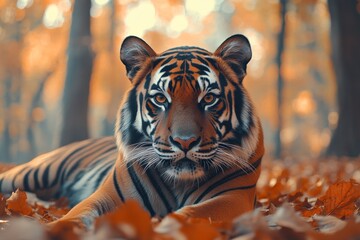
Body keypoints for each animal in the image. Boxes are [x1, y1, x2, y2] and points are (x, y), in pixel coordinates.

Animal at [0, 33, 264, 227]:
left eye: (209, 98)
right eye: (160, 98)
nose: (184, 142)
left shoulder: (232, 198)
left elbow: (188, 214)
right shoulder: (109, 197)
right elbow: (75, 216)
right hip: (34, 172)